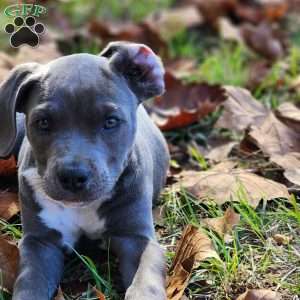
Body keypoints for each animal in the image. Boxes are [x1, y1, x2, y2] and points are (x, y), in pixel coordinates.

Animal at [0, 42, 169, 300]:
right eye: (43, 122)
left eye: (111, 121)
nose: (72, 176)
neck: (81, 208)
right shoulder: (40, 243)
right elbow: (30, 285)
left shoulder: (138, 240)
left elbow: (145, 281)